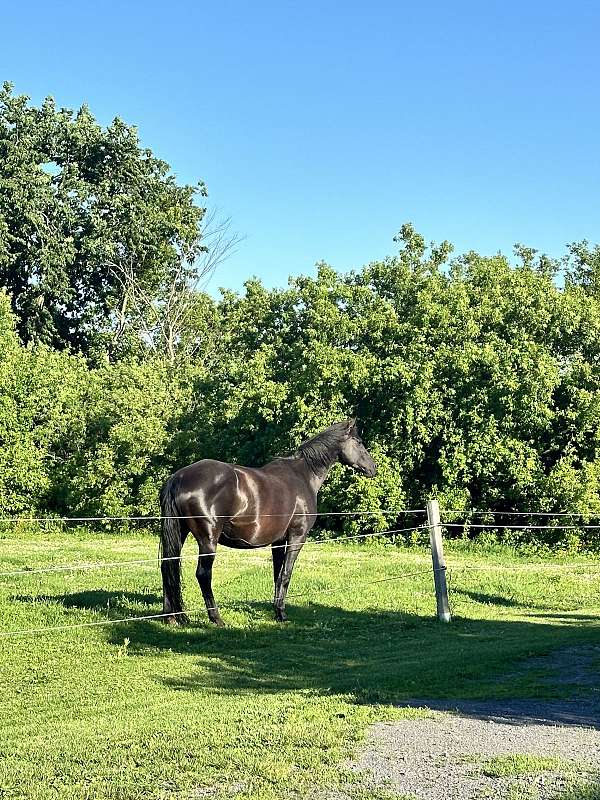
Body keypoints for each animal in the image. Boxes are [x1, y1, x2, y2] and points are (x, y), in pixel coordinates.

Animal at [159, 419, 377, 625]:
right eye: (358, 442)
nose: (373, 468)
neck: (304, 476)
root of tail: (178, 477)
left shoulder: (278, 542)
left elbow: (277, 574)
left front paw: (276, 611)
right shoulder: (297, 537)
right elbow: (286, 574)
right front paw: (281, 613)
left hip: (180, 533)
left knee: (167, 566)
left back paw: (171, 617)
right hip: (208, 541)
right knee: (203, 574)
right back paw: (216, 618)